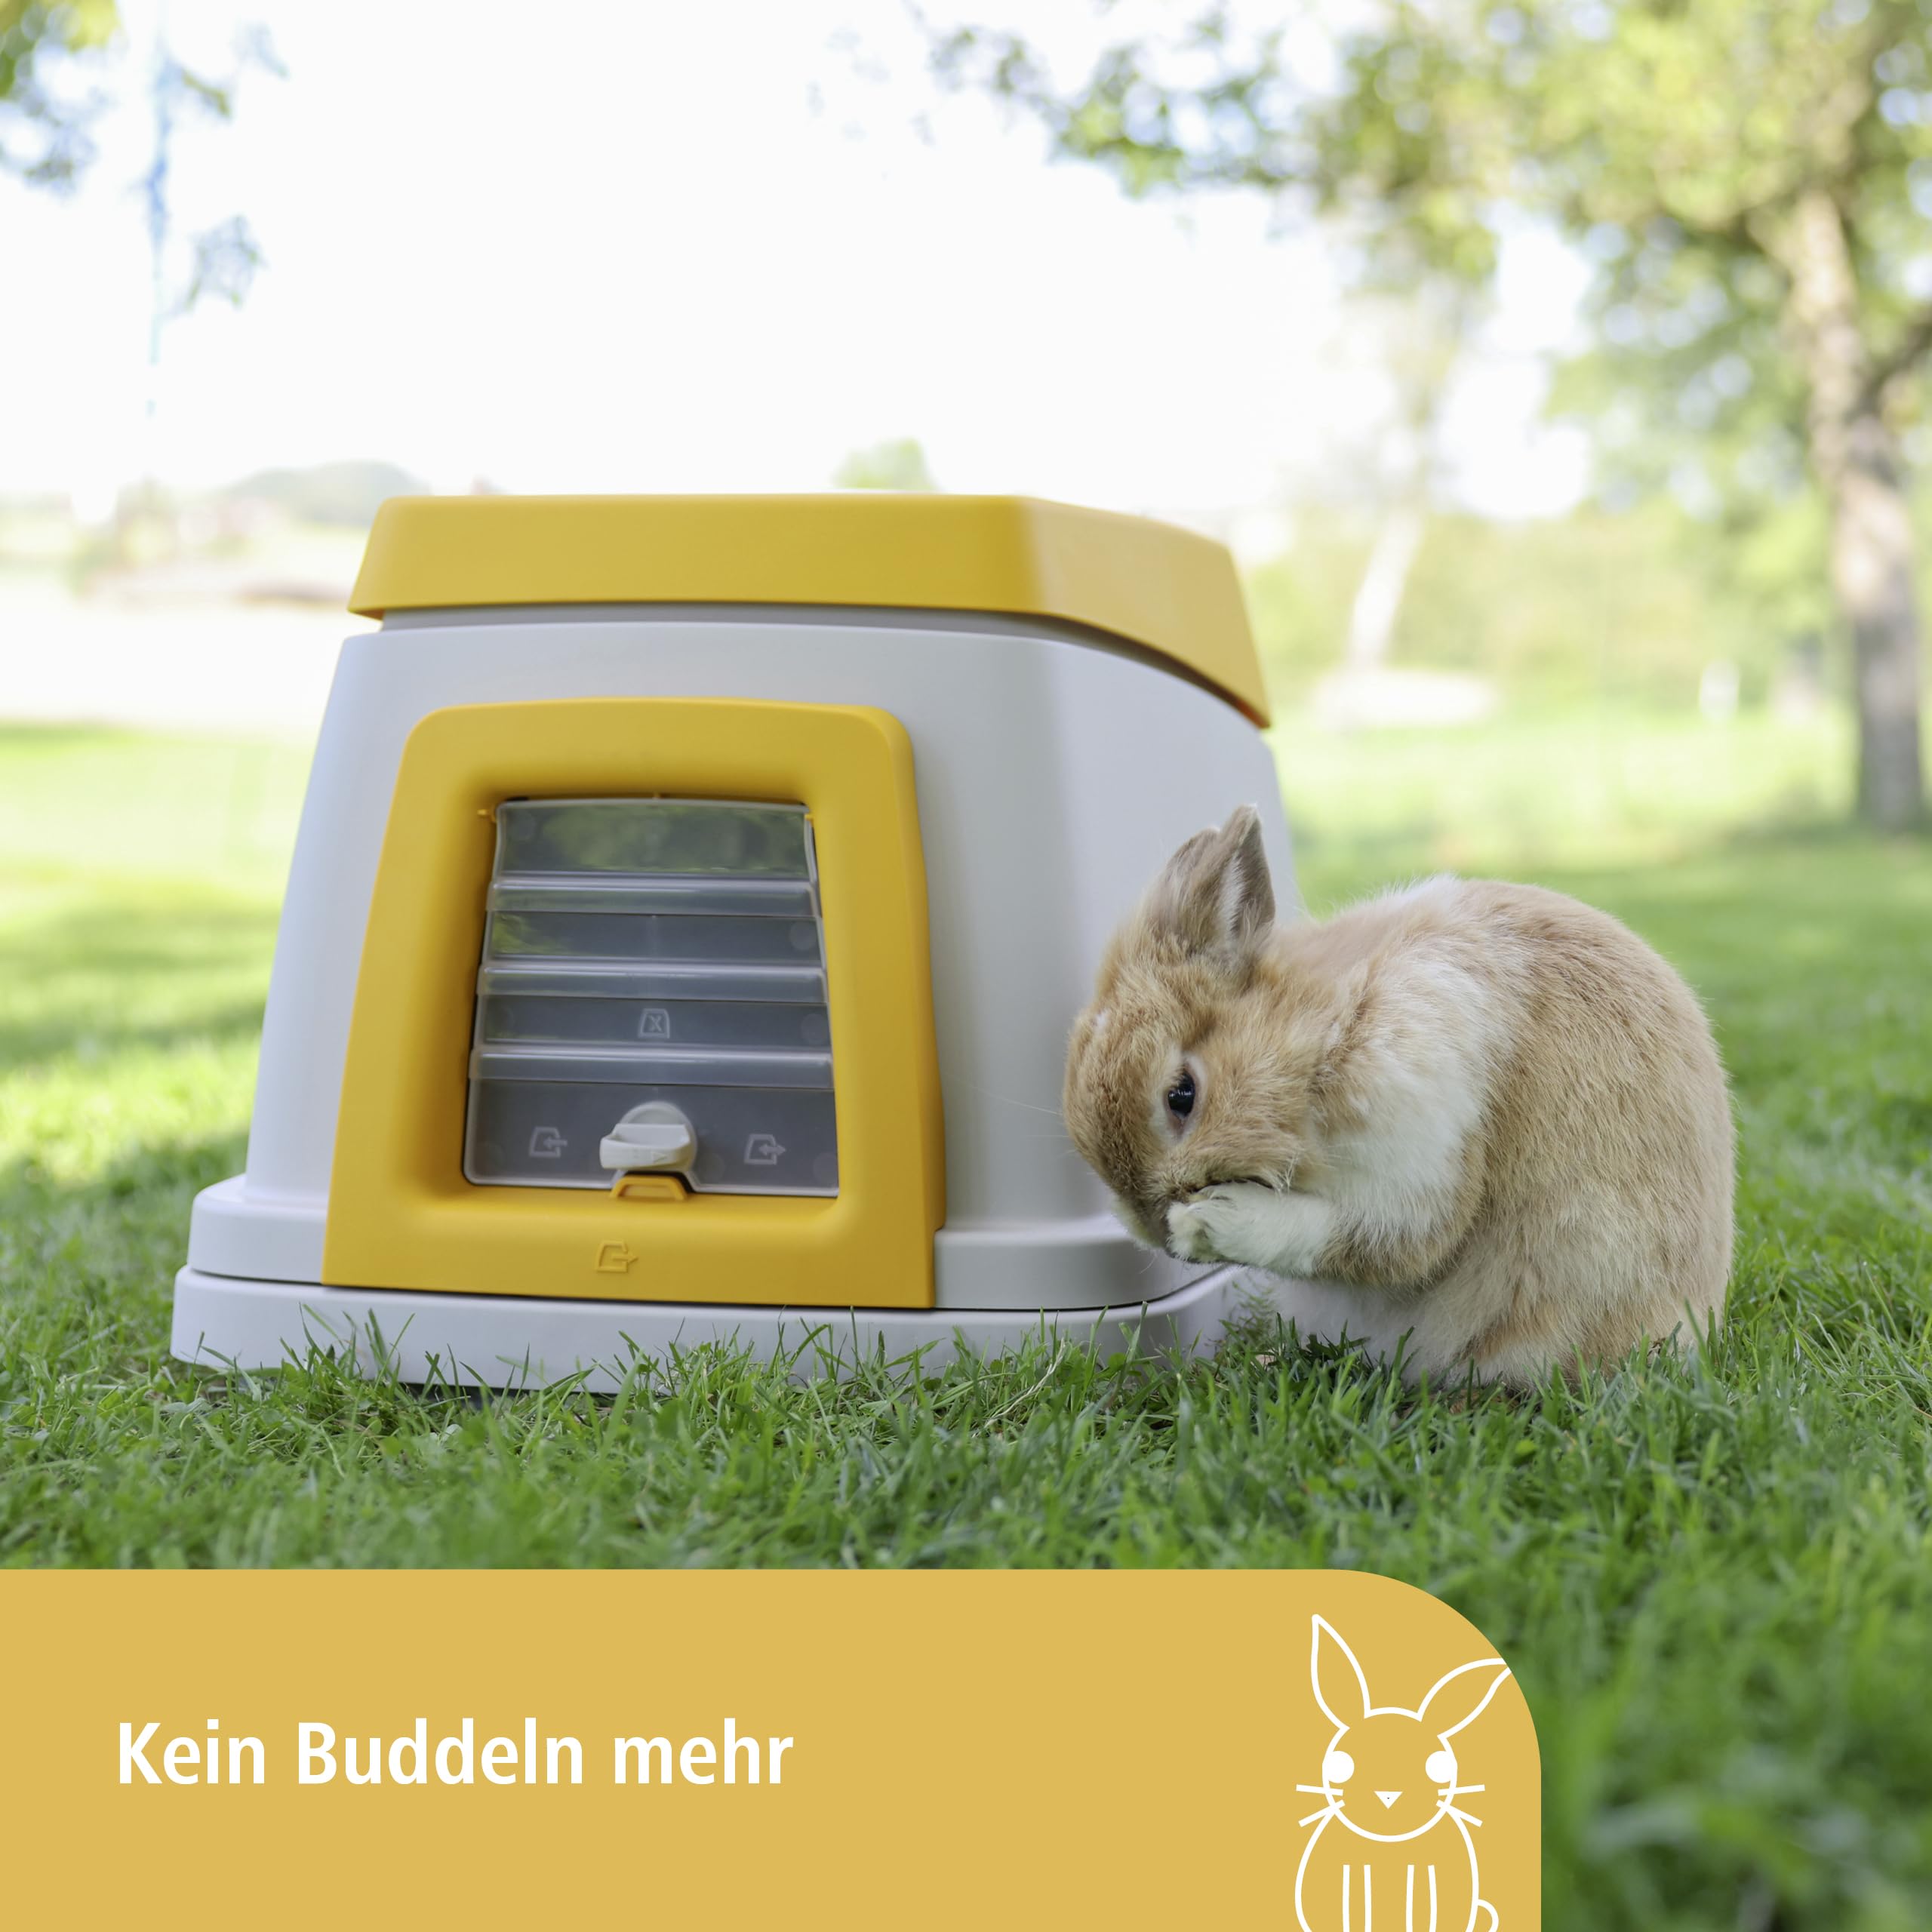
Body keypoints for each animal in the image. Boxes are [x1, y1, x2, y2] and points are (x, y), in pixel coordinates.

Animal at [1062, 806, 1734, 1384]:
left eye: (1182, 1095)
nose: (1154, 1228)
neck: (1331, 1026)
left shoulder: (1422, 1136)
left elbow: (1368, 1237)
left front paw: (1211, 1221)